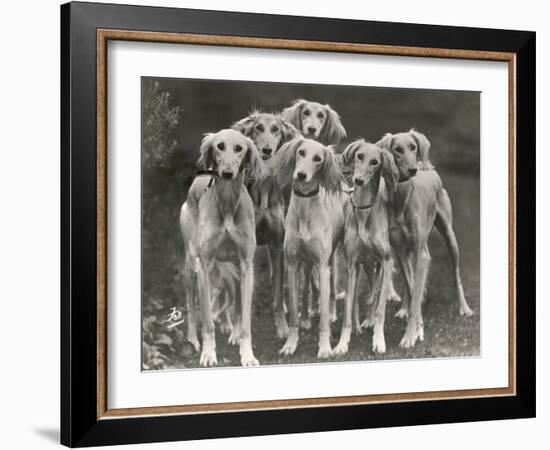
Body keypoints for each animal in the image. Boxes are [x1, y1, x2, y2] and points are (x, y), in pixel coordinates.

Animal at [180, 129, 264, 366]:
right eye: (219, 146)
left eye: (239, 148)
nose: (227, 173)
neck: (227, 201)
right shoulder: (205, 265)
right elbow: (207, 319)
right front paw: (208, 354)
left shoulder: (245, 264)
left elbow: (244, 318)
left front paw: (247, 355)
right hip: (191, 264)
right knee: (191, 304)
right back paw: (192, 339)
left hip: (231, 266)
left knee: (232, 296)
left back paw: (231, 329)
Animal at [235, 111, 300, 338]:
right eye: (258, 128)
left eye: (275, 129)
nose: (266, 150)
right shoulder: (247, 246)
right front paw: (237, 330)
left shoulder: (277, 244)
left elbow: (278, 294)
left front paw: (282, 327)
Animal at [274, 137, 348, 358]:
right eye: (301, 152)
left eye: (318, 159)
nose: (301, 175)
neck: (305, 209)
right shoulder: (292, 264)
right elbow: (293, 314)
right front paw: (290, 344)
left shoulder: (323, 266)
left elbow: (322, 316)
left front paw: (324, 348)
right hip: (305, 263)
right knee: (306, 286)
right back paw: (306, 317)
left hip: (335, 256)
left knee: (331, 290)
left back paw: (332, 313)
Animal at [334, 141, 398, 356]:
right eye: (359, 156)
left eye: (375, 162)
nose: (358, 180)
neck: (363, 211)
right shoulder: (352, 263)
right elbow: (347, 308)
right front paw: (342, 343)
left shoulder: (386, 260)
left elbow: (380, 309)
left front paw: (378, 341)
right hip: (366, 265)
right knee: (365, 292)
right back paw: (362, 323)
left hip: (378, 263)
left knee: (377, 292)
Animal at [380, 127, 474, 348]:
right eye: (397, 149)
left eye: (413, 147)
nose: (413, 169)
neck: (402, 199)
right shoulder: (401, 251)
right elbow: (412, 287)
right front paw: (416, 325)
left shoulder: (421, 254)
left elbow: (417, 291)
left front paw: (410, 334)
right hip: (405, 253)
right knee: (410, 285)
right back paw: (404, 309)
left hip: (449, 238)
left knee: (456, 275)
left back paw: (464, 308)